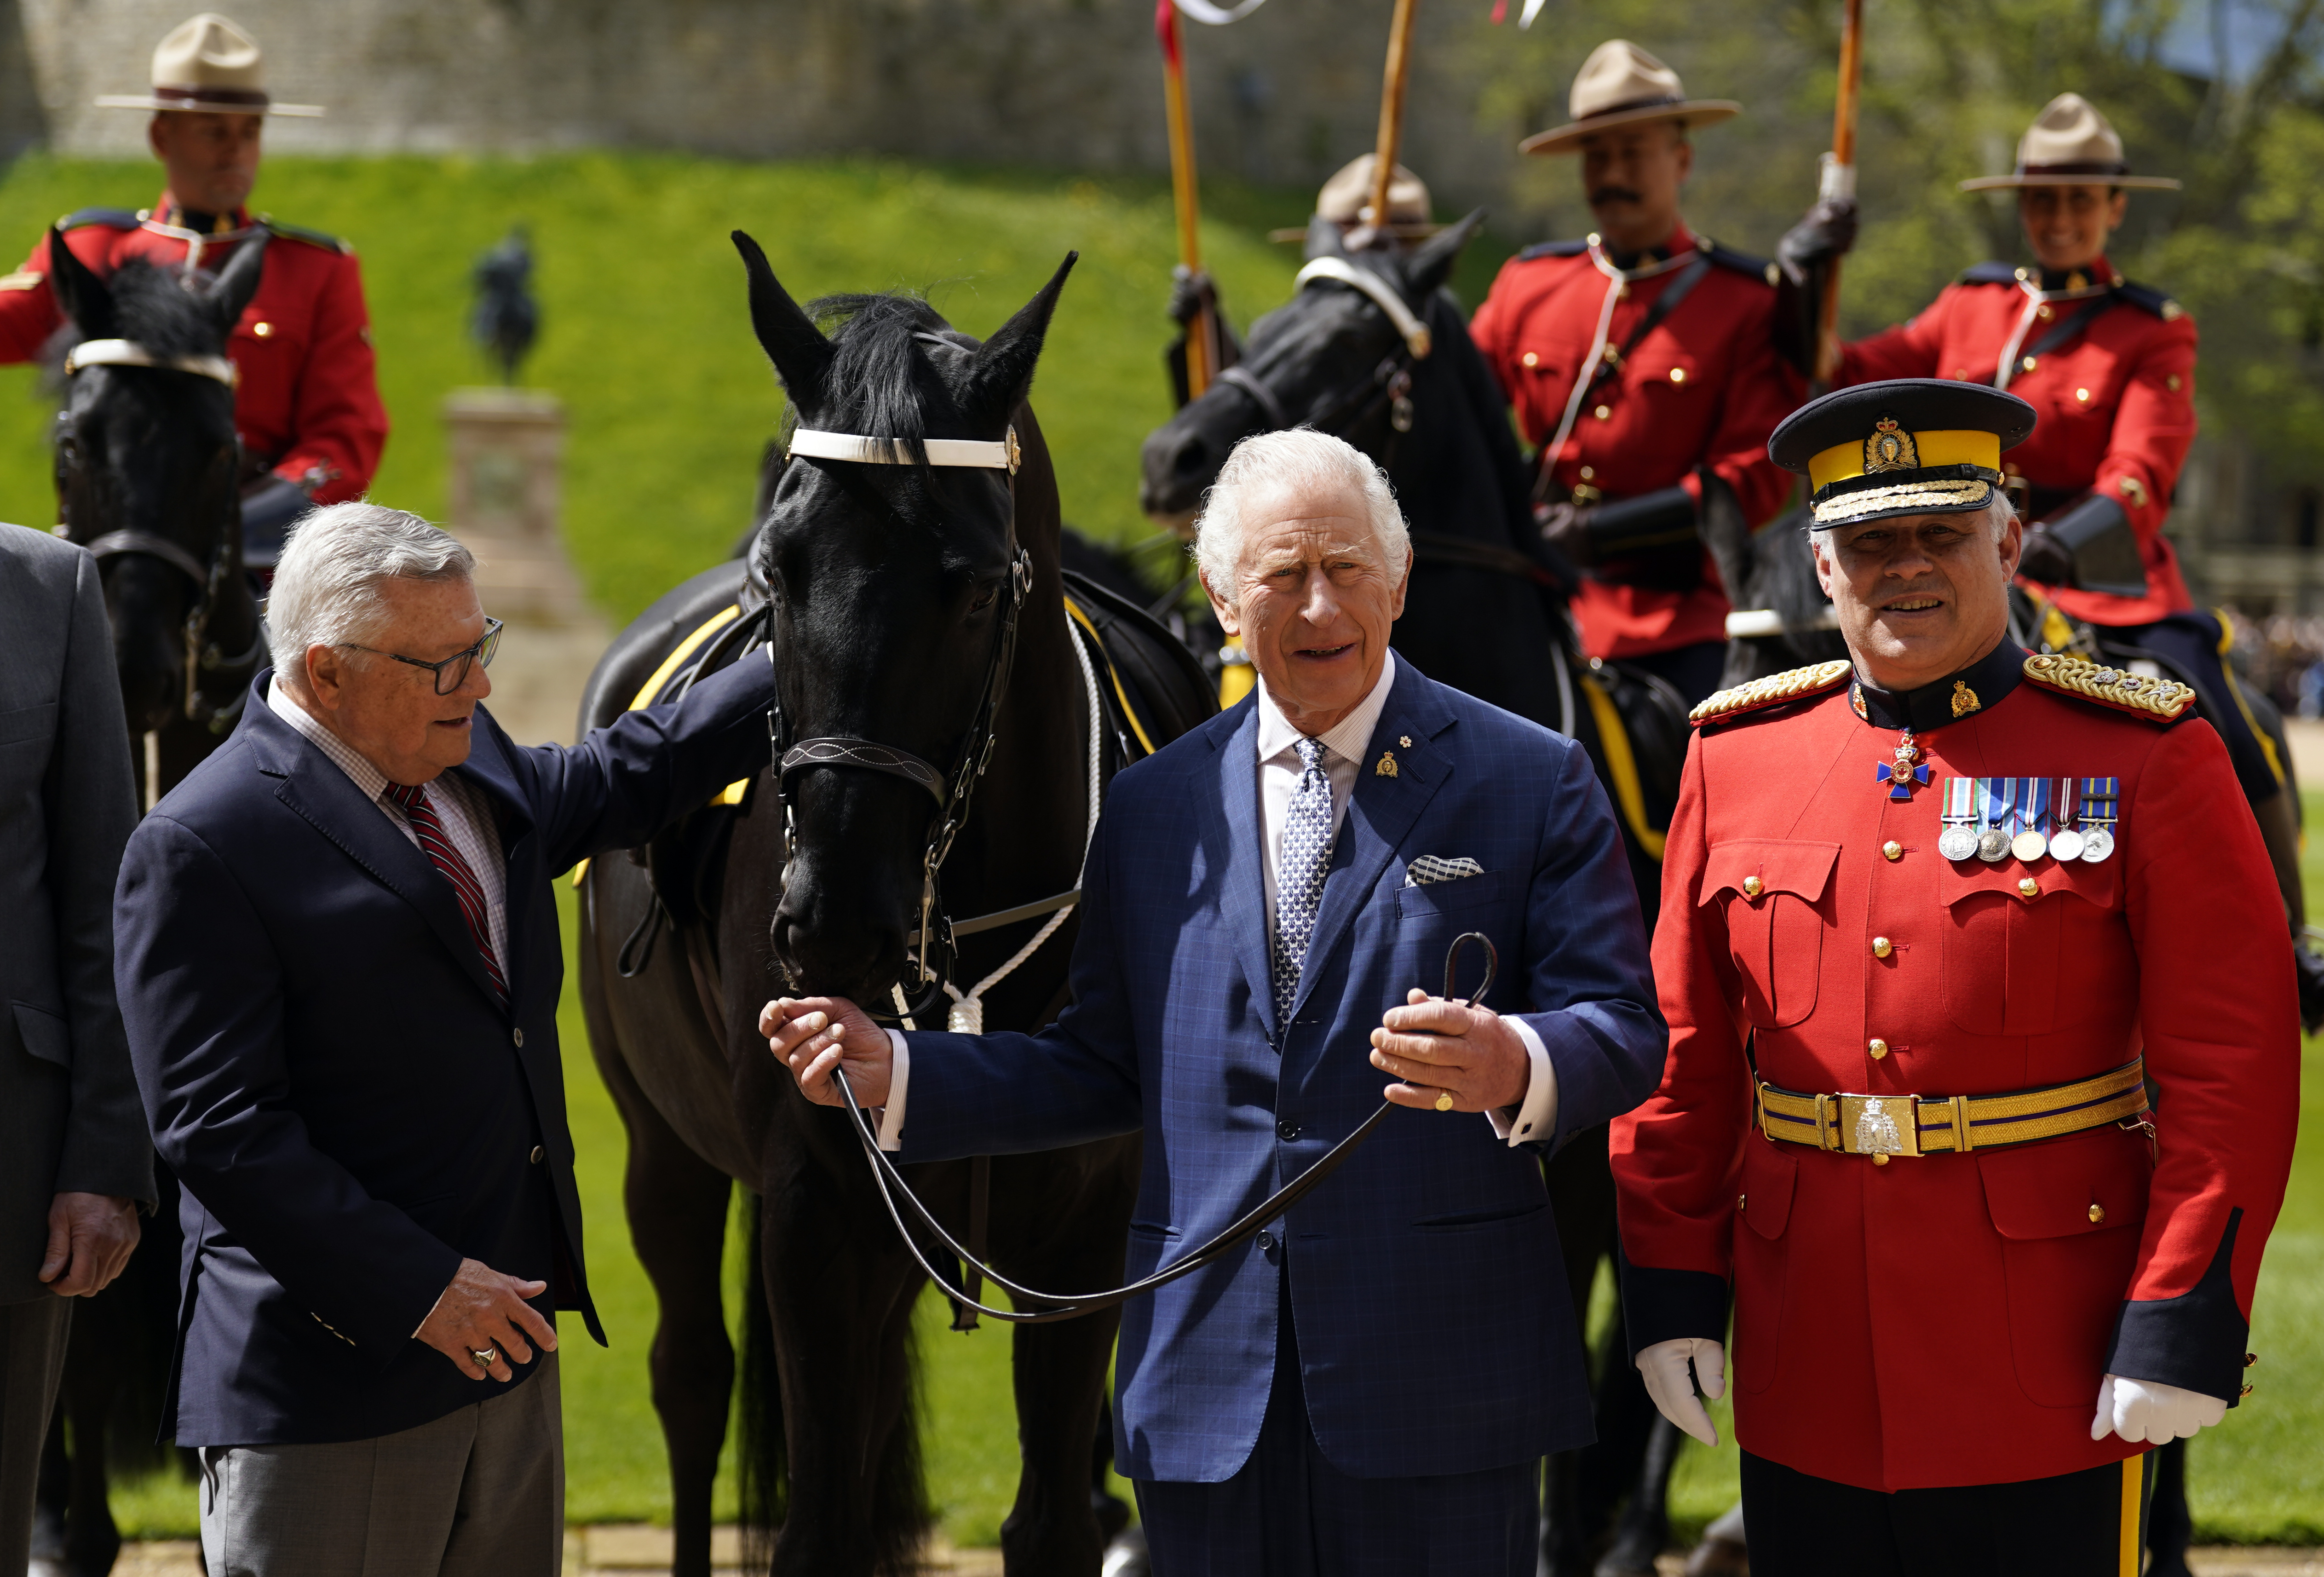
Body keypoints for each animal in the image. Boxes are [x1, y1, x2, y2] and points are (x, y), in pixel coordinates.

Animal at [576, 238, 1218, 1577]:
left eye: (967, 589)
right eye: (781, 571)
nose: (831, 918)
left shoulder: (1085, 1239)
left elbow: (1050, 1518)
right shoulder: (817, 1215)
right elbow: (814, 1521)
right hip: (664, 1149)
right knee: (692, 1379)